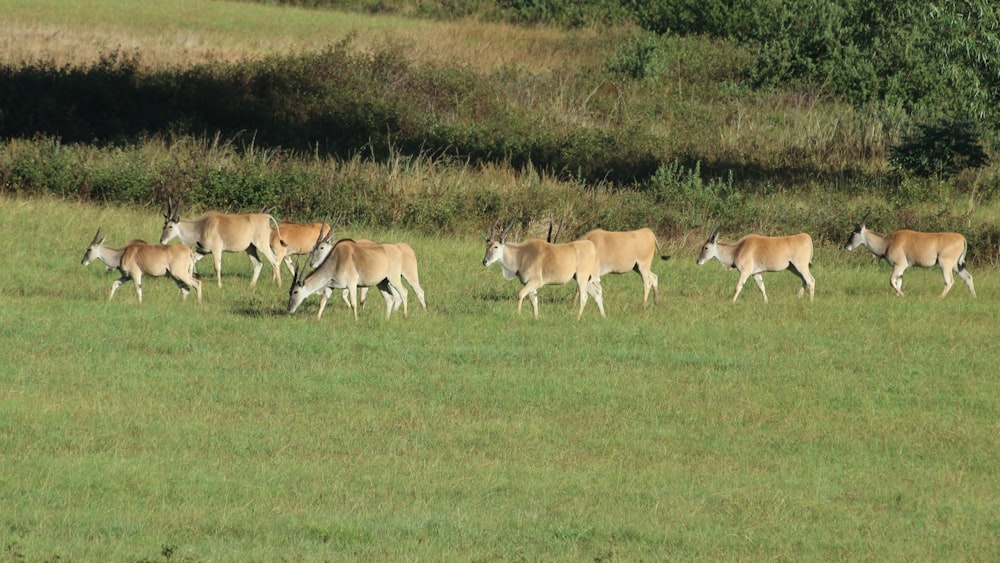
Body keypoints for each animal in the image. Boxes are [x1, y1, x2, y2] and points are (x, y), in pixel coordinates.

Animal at [158, 197, 288, 286]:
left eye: (170, 226)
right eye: (163, 226)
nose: (162, 240)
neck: (200, 226)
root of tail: (265, 217)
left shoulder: (216, 250)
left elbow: (217, 267)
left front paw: (219, 285)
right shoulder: (203, 251)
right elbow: (193, 260)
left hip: (262, 245)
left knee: (275, 261)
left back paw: (279, 284)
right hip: (250, 248)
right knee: (258, 264)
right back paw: (251, 286)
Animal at [844, 212, 976, 300]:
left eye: (853, 233)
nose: (846, 246)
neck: (887, 242)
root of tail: (962, 238)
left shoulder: (900, 265)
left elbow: (891, 281)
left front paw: (903, 295)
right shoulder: (900, 269)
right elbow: (898, 282)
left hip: (945, 265)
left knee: (949, 281)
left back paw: (939, 298)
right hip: (956, 266)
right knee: (968, 277)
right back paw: (974, 297)